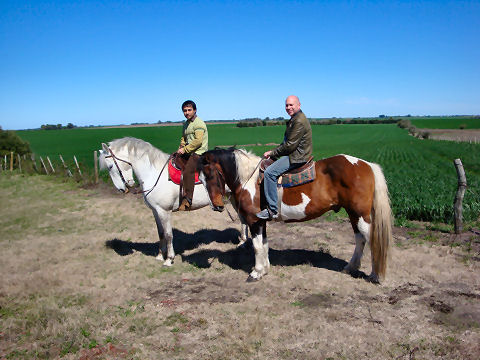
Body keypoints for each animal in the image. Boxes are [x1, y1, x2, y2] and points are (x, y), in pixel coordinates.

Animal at [98, 136, 248, 266]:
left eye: (110, 166)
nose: (121, 189)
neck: (154, 173)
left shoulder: (165, 211)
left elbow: (169, 235)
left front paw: (169, 259)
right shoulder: (155, 211)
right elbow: (161, 233)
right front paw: (160, 255)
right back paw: (242, 242)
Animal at [197, 149, 392, 284]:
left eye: (210, 174)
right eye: (200, 178)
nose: (217, 206)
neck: (249, 180)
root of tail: (367, 165)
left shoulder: (254, 221)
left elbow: (257, 247)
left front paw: (256, 272)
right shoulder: (262, 221)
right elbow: (264, 245)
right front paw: (265, 269)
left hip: (360, 214)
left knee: (372, 241)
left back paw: (375, 275)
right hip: (353, 214)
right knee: (360, 239)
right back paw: (350, 267)